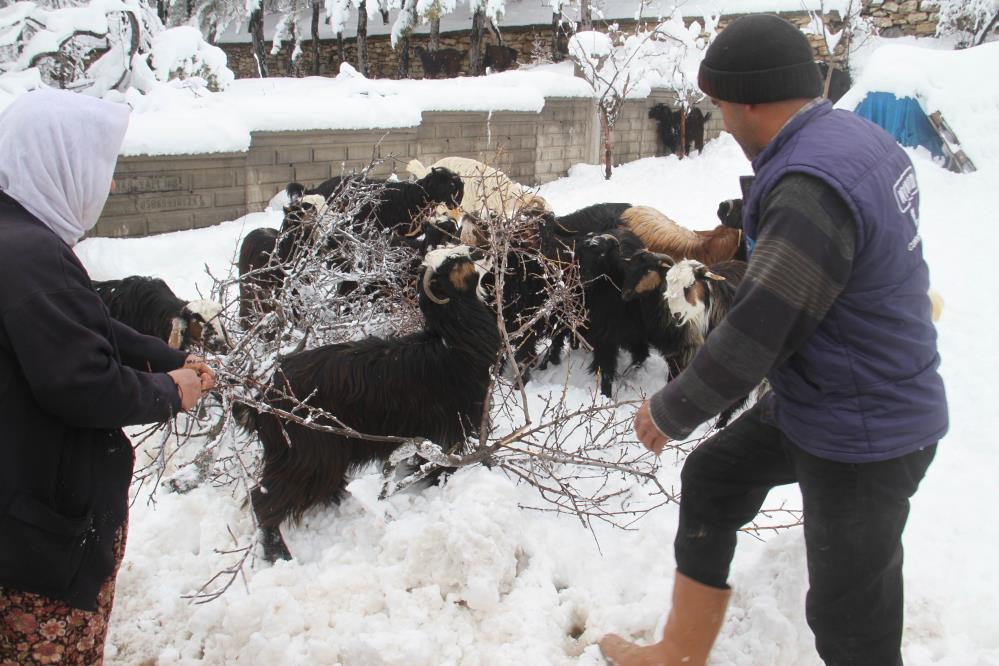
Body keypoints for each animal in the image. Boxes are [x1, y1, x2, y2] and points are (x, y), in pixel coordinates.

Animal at [247, 244, 504, 560]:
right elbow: (446, 460)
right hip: (303, 455)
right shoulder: (451, 427)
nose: (481, 251)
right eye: (455, 263)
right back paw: (278, 551)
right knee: (262, 499)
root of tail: (263, 401)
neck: (454, 344)